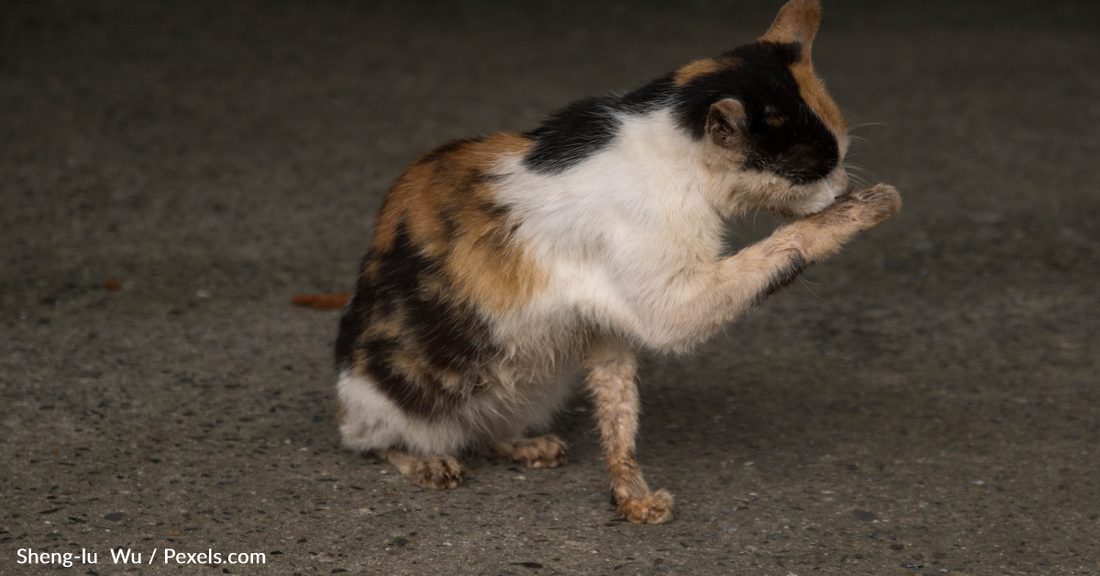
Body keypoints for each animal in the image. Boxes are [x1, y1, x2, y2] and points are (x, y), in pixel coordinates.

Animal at [330, 0, 897, 523]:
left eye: (843, 157)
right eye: (812, 173)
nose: (842, 187)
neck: (680, 160)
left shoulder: (605, 318)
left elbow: (618, 405)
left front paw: (629, 490)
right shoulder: (666, 298)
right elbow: (776, 252)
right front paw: (862, 209)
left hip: (532, 381)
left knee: (482, 427)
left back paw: (522, 444)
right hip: (388, 391)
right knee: (374, 439)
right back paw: (426, 461)